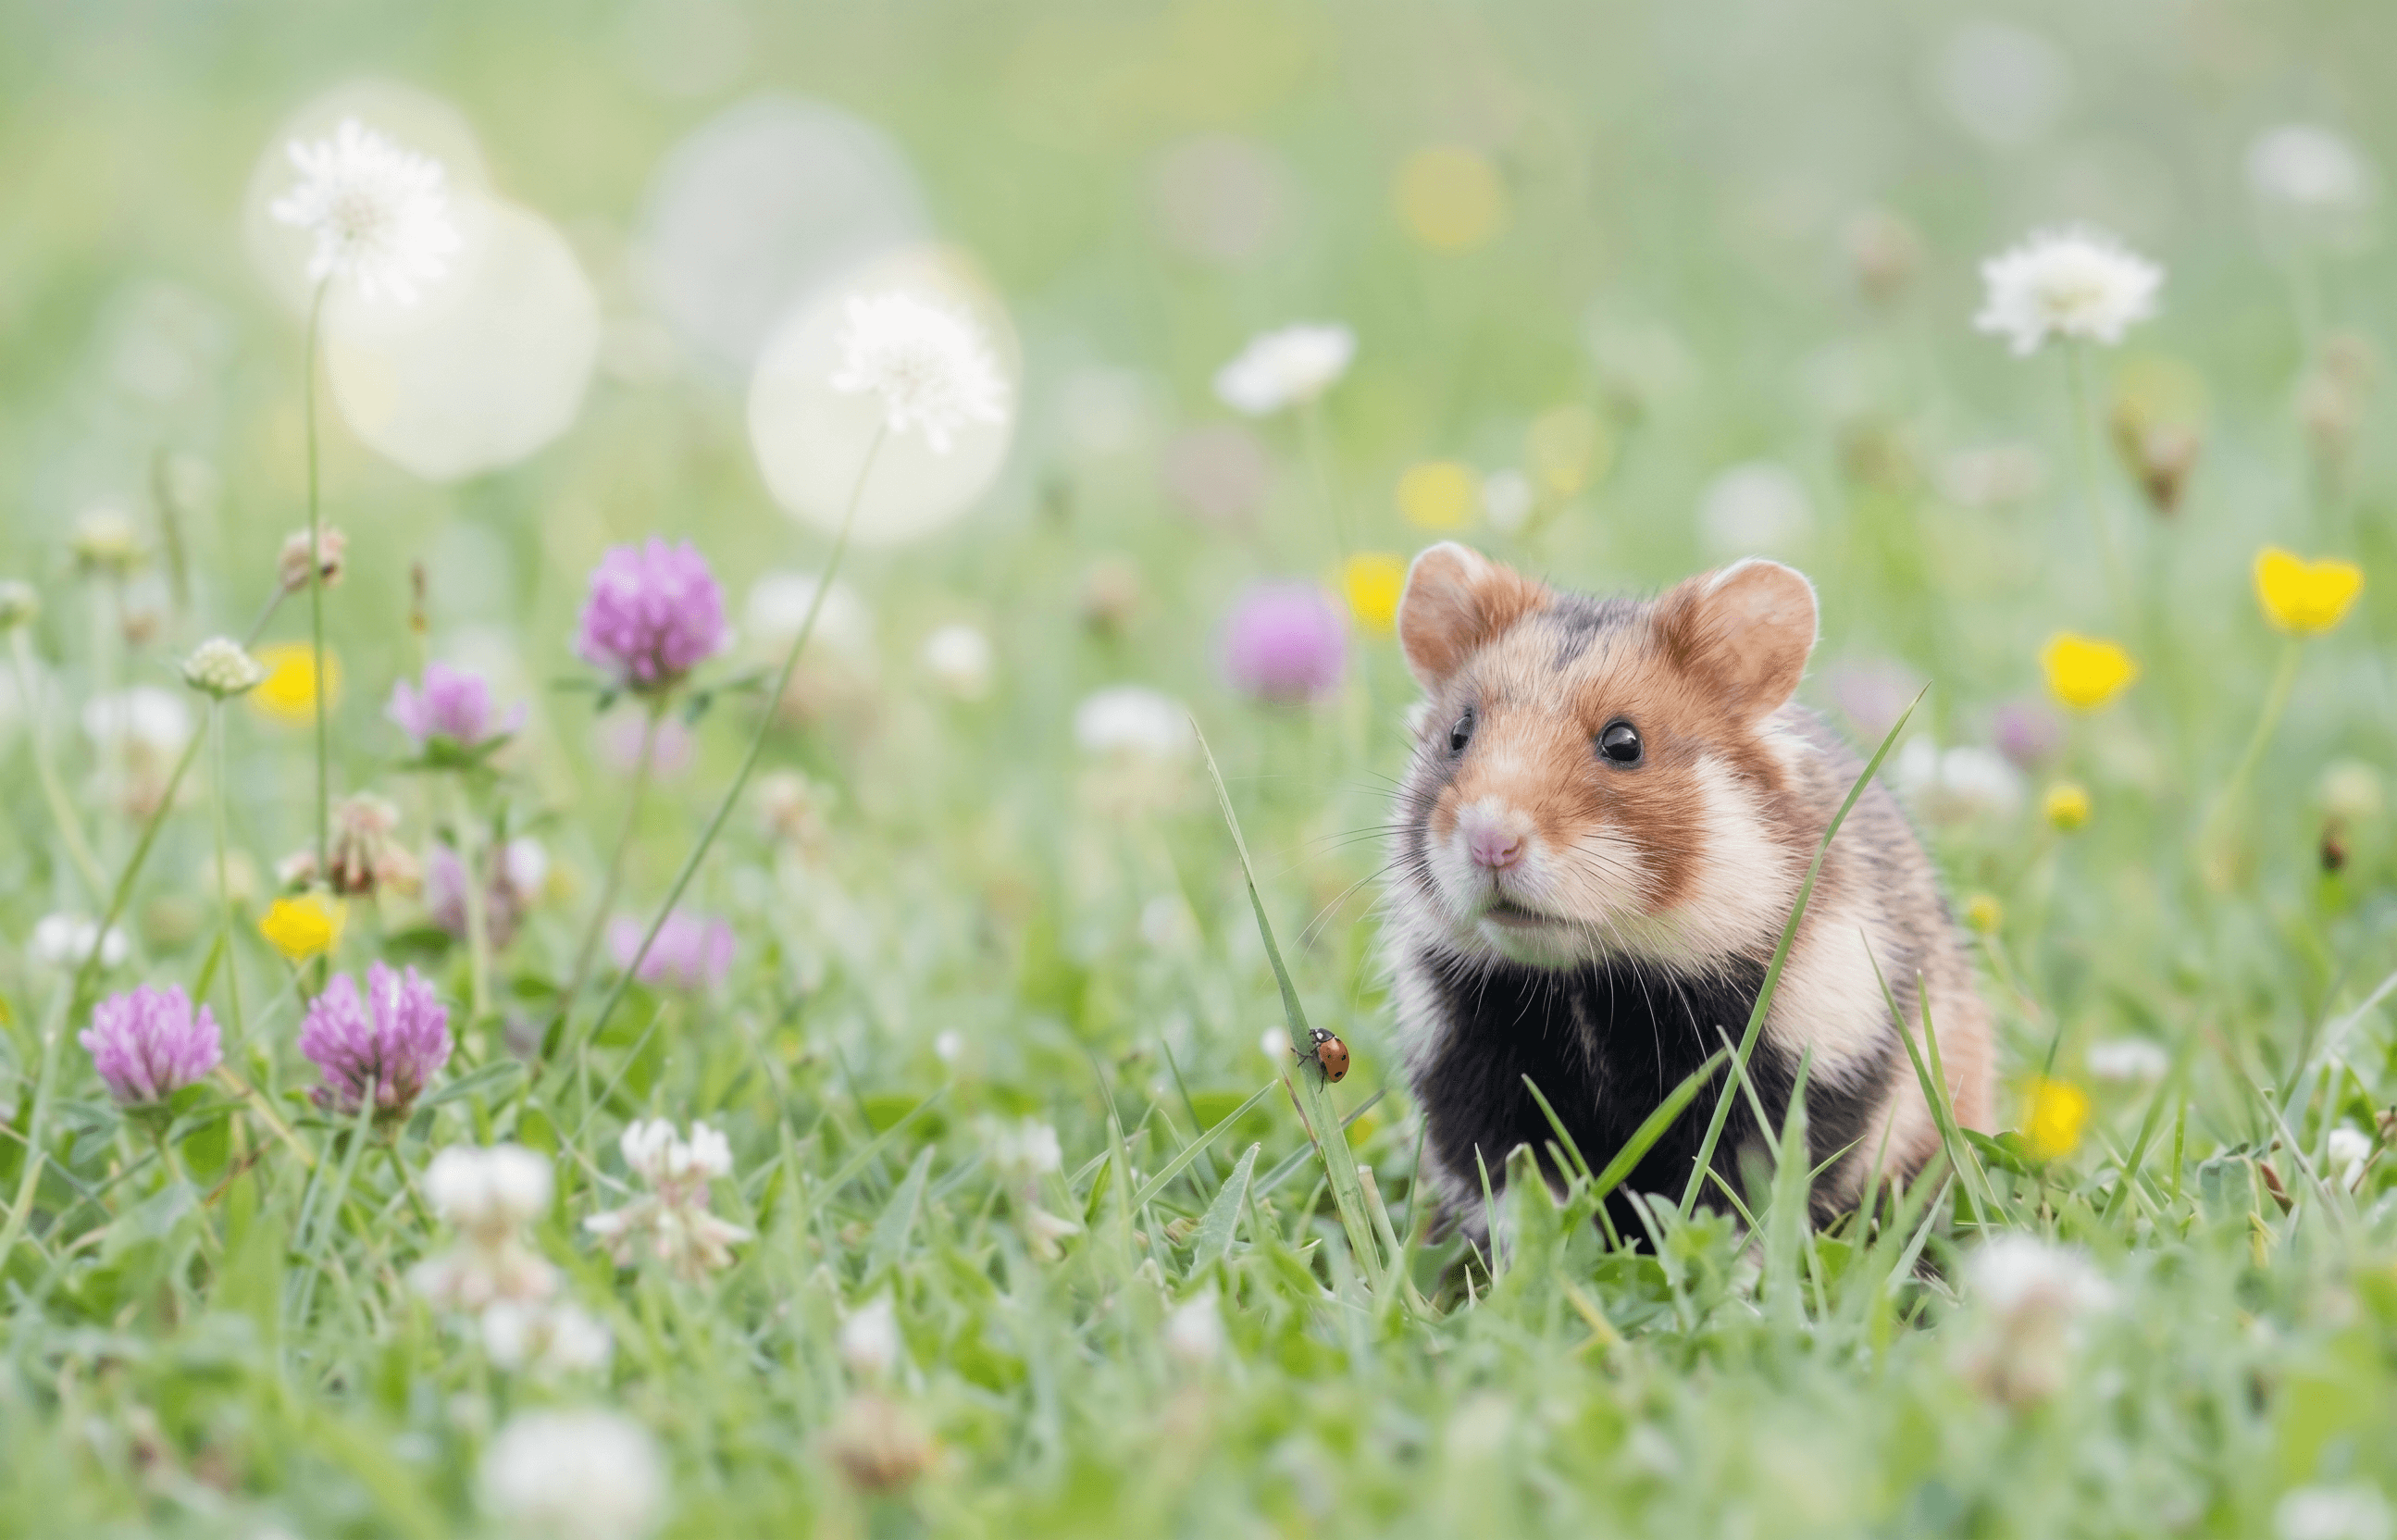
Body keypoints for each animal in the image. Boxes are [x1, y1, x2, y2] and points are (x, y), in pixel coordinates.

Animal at [1382, 543, 1992, 1238]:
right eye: (1458, 734)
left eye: (1624, 742)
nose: (1490, 841)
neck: (1589, 979)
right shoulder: (1468, 1061)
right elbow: (1514, 1193)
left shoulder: (1798, 1071)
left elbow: (1735, 1203)